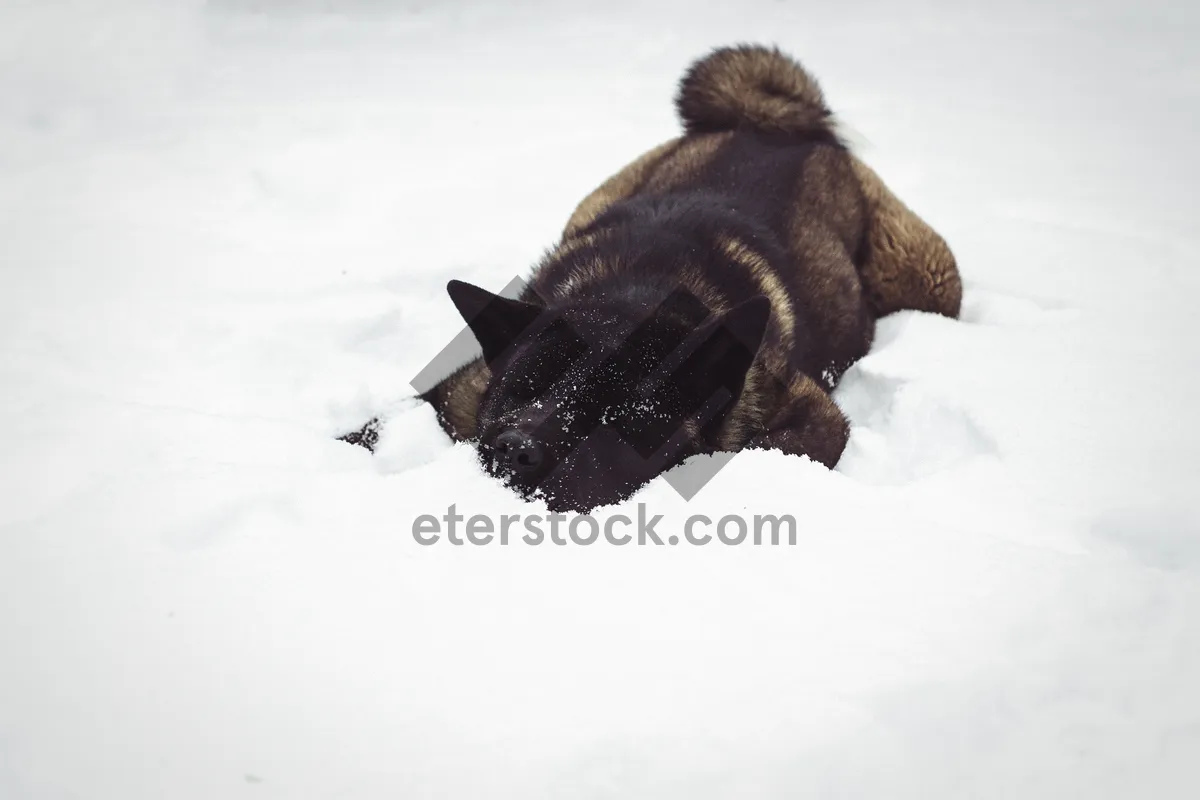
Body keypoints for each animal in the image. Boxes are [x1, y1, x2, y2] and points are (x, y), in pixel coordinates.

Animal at [343, 43, 960, 510]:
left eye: (618, 411)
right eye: (523, 388)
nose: (514, 448)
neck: (636, 285)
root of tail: (771, 127)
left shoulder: (814, 415)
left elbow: (750, 449)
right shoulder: (459, 396)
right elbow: (377, 425)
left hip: (926, 276)